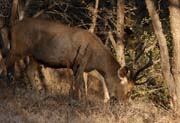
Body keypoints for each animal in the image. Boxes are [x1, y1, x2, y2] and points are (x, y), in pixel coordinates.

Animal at [0, 17, 132, 102]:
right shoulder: (79, 63)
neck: (97, 60)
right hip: (19, 48)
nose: (123, 102)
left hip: (35, 56)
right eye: (127, 89)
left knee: (28, 71)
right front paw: (79, 101)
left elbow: (96, 79)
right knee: (3, 63)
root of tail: (11, 27)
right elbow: (79, 85)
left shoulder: (84, 67)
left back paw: (37, 94)